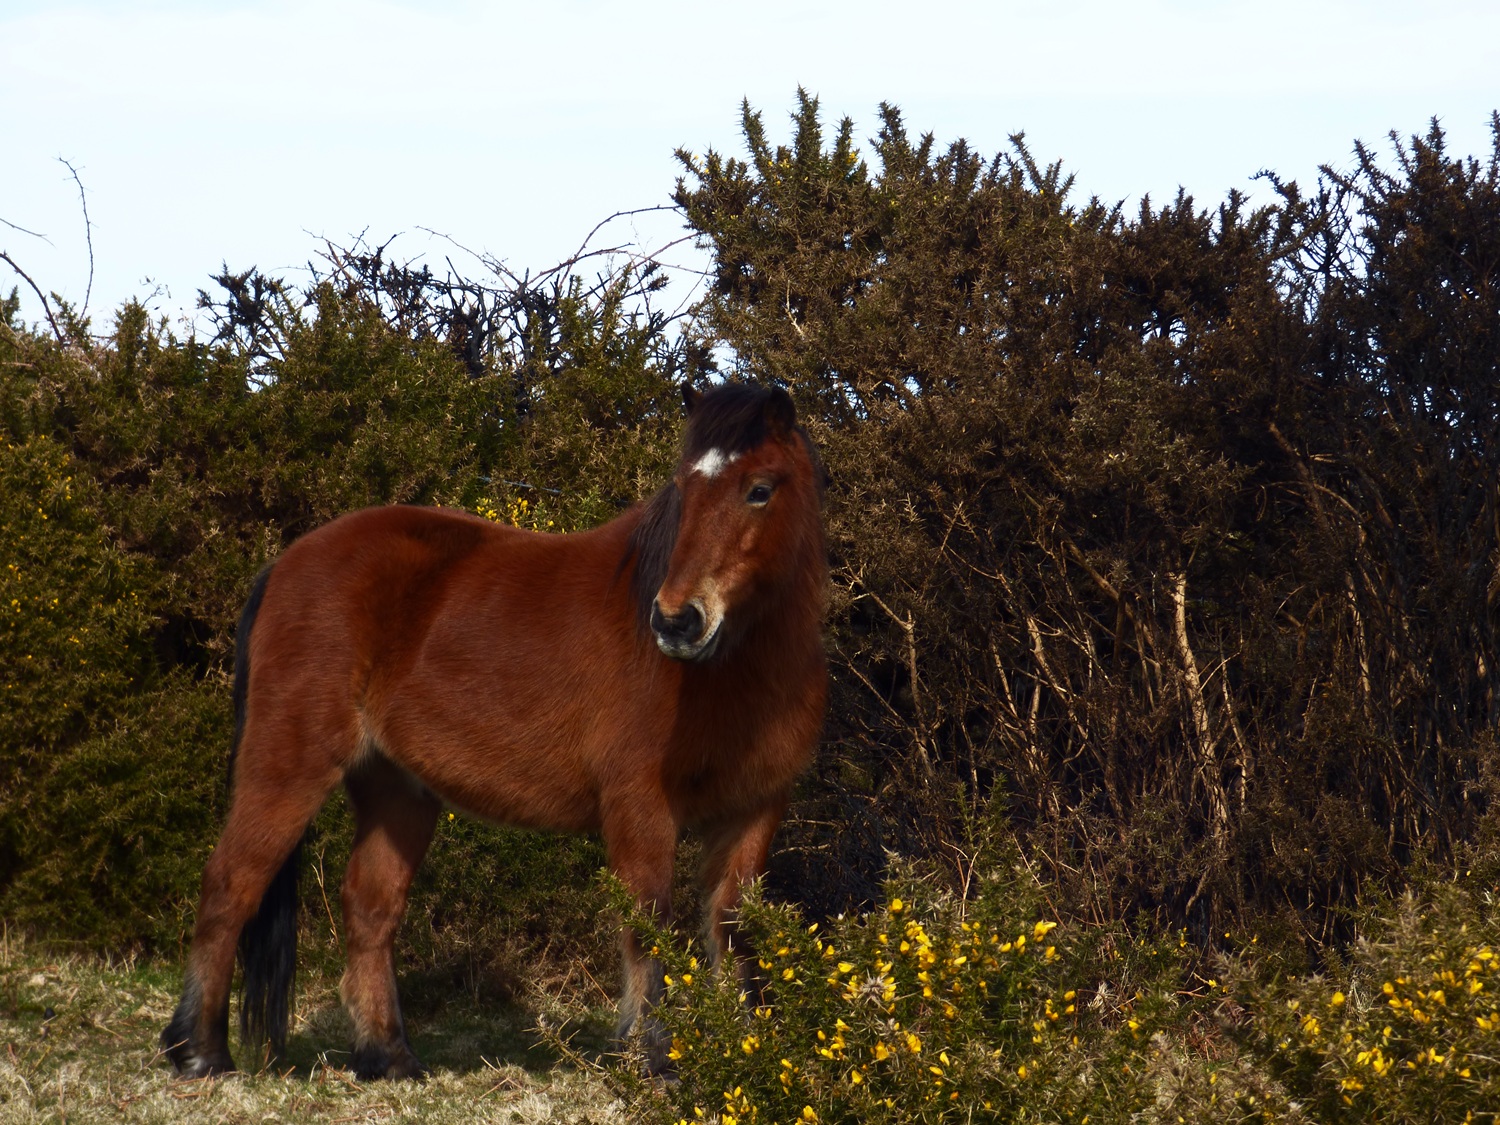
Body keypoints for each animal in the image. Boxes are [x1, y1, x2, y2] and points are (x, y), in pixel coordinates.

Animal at [160, 382, 828, 1080]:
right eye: (683, 488)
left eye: (760, 489)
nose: (676, 621)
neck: (729, 674)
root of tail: (285, 564)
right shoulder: (640, 807)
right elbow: (647, 922)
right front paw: (652, 1056)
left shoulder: (755, 808)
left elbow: (735, 927)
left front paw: (752, 1058)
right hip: (288, 764)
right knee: (231, 884)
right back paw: (198, 1051)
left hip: (396, 790)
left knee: (370, 907)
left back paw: (388, 1056)